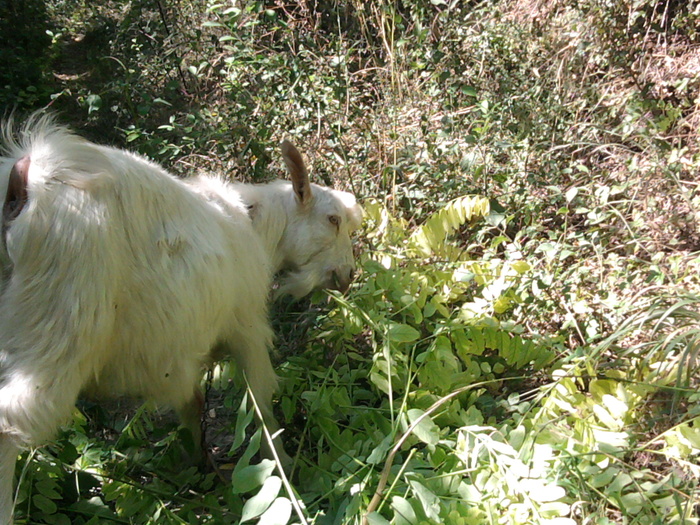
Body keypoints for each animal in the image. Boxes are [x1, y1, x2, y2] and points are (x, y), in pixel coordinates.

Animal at [0, 113, 360, 520]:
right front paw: (283, 469)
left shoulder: (184, 353)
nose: (348, 275)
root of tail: (24, 179)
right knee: (10, 421)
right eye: (333, 219)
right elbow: (261, 403)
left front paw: (201, 468)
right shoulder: (247, 325)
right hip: (60, 318)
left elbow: (193, 405)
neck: (253, 225)